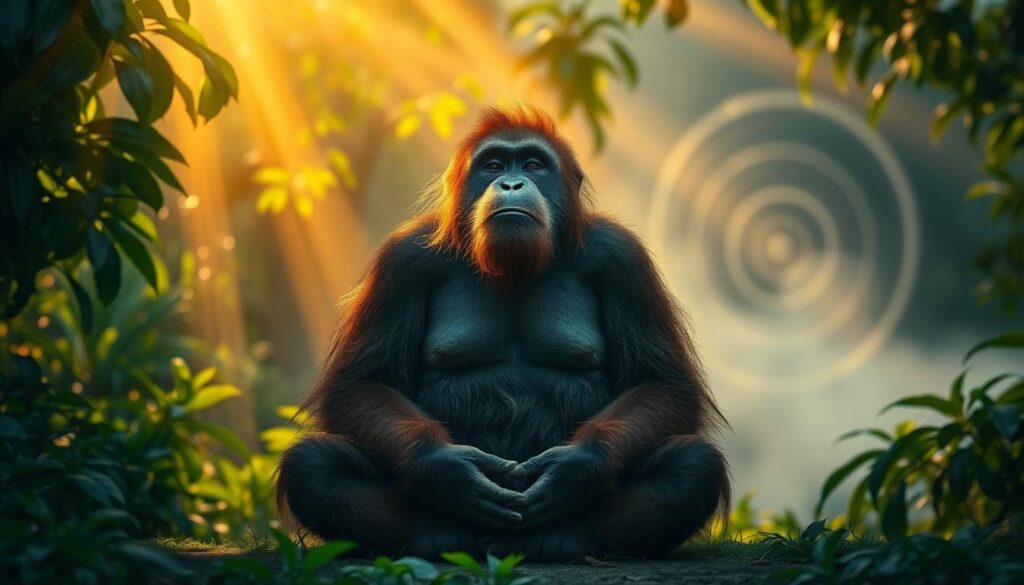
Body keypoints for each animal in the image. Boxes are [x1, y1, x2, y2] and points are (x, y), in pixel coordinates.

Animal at [276, 105, 729, 562]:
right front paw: (446, 470)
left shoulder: (623, 259)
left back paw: (559, 538)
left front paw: (575, 469)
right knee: (312, 463)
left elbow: (663, 384)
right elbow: (360, 384)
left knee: (694, 463)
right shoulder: (401, 261)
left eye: (532, 165)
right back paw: (437, 534)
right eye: (493, 165)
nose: (511, 183)